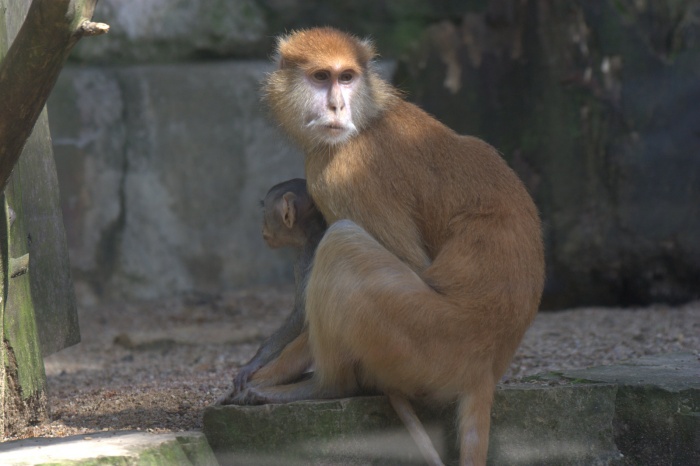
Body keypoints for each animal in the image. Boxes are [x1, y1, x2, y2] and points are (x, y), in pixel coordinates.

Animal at [220, 178, 442, 466]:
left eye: (264, 211)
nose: (262, 228)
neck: (312, 233)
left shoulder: (306, 256)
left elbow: (302, 318)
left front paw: (252, 367)